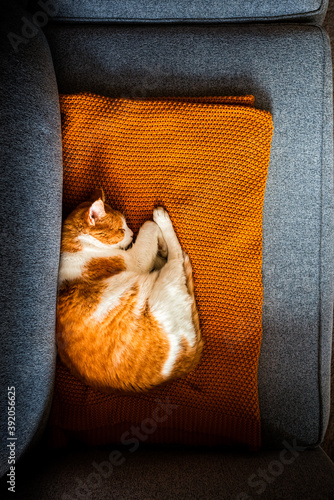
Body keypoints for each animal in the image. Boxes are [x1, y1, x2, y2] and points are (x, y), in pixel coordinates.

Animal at [56, 189, 204, 392]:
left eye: (126, 226)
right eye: (121, 230)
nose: (132, 233)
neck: (76, 245)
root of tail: (189, 360)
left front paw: (159, 250)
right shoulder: (135, 260)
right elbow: (150, 228)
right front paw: (160, 239)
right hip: (166, 284)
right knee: (177, 257)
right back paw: (162, 220)